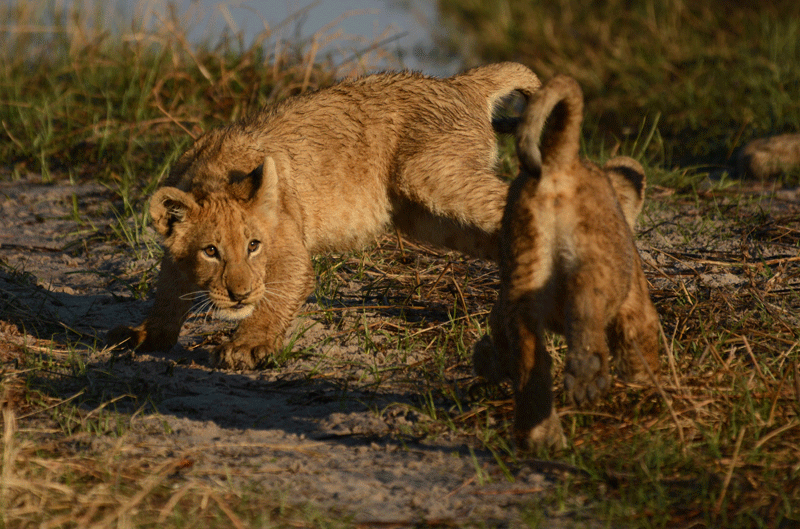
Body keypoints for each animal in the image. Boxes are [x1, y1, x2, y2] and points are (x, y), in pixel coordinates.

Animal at [107, 62, 542, 370]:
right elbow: (167, 291)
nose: (239, 295)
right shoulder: (175, 253)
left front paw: (246, 346)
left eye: (253, 246)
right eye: (210, 251)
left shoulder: (288, 248)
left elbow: (278, 295)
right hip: (426, 217)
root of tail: (460, 82)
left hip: (429, 177)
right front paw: (145, 334)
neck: (214, 172)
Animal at [472, 75, 661, 451]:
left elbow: (499, 342)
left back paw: (539, 435)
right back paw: (587, 375)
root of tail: (561, 159)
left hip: (523, 270)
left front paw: (485, 360)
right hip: (596, 260)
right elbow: (642, 348)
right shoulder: (637, 304)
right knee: (585, 301)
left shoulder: (500, 310)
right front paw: (649, 386)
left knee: (530, 355)